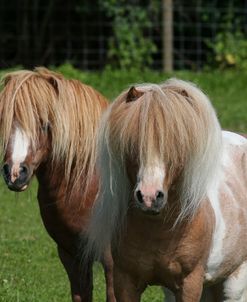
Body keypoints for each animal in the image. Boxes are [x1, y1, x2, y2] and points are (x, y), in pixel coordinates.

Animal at [86, 80, 247, 302]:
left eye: (176, 144)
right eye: (132, 143)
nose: (149, 197)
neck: (159, 229)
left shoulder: (190, 284)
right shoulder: (125, 281)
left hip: (235, 281)